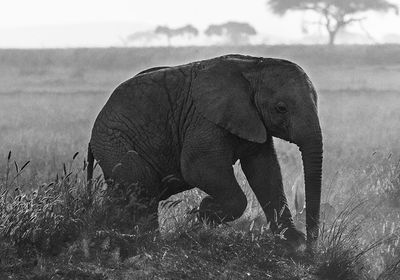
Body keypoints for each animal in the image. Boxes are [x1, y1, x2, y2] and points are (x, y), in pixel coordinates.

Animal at [86, 53, 322, 246]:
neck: (255, 66)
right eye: (281, 108)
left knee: (126, 193)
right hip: (115, 141)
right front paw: (202, 214)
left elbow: (265, 171)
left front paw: (292, 243)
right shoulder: (204, 119)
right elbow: (198, 168)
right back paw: (142, 239)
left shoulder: (253, 119)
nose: (311, 249)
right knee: (141, 188)